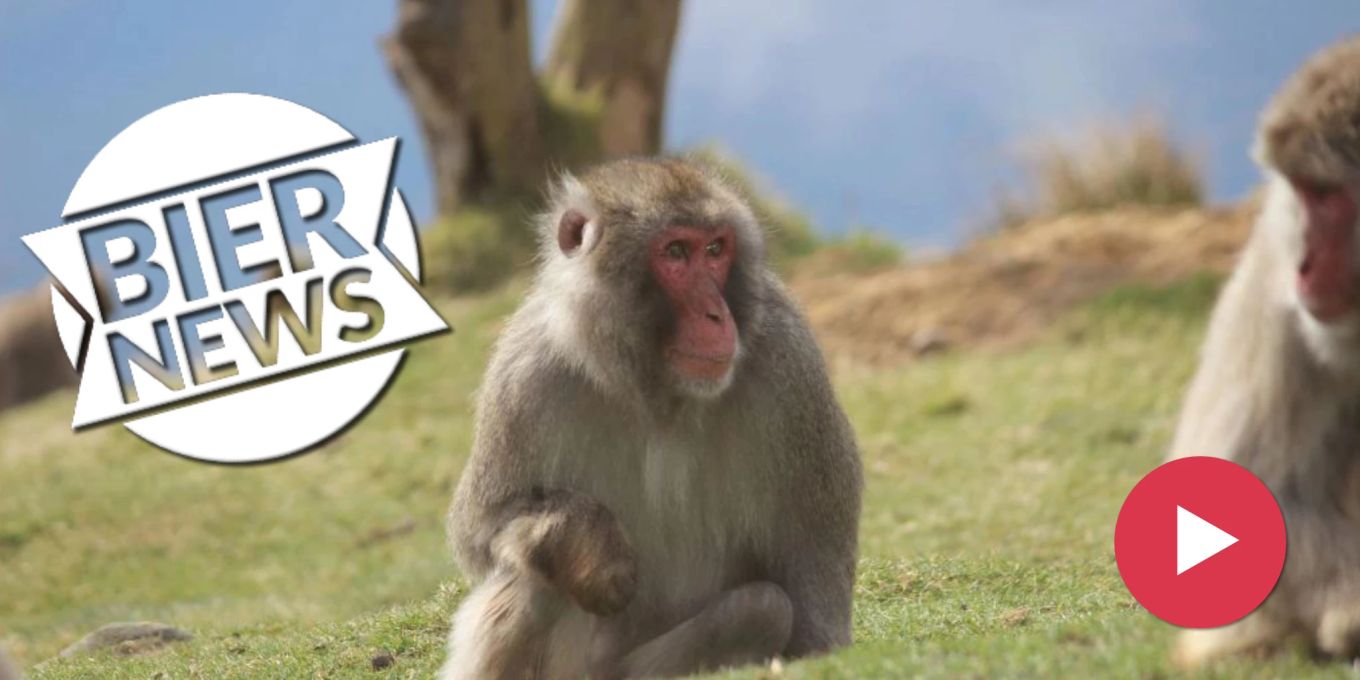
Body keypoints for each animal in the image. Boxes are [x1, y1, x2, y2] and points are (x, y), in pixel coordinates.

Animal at [437, 158, 862, 680]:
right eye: (675, 252)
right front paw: (584, 543)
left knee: (761, 609)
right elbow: (481, 530)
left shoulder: (791, 366)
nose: (716, 315)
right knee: (536, 577)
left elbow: (812, 573)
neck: (655, 389)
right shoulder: (524, 373)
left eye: (715, 250)